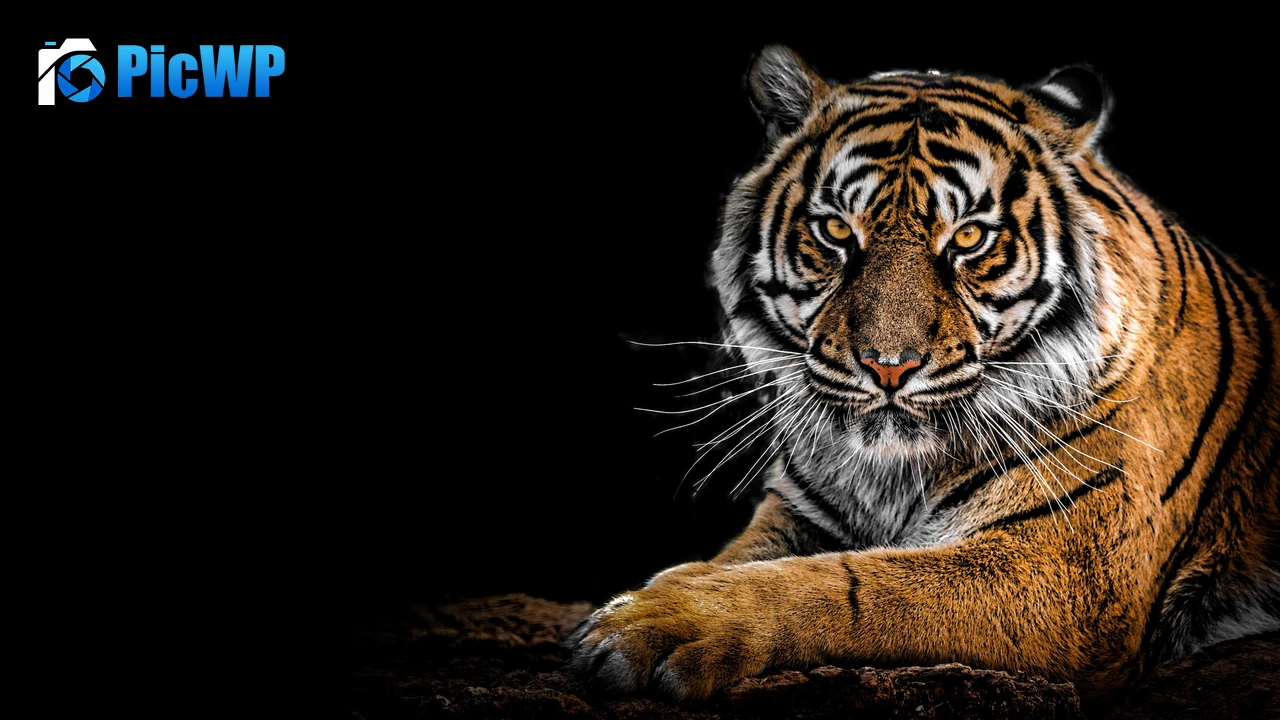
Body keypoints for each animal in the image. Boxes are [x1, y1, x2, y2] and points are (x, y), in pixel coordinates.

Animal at [565, 45, 1280, 706]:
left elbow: (849, 585)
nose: (890, 367)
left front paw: (652, 625)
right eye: (835, 231)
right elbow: (741, 562)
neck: (891, 474)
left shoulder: (1065, 571)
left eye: (967, 238)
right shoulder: (796, 513)